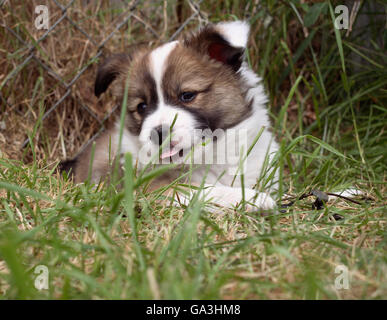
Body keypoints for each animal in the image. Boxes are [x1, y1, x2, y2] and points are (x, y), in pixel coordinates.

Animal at [59, 20, 278, 210]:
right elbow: (204, 190)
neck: (211, 159)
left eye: (187, 95)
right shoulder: (153, 187)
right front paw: (250, 198)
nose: (159, 133)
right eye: (142, 106)